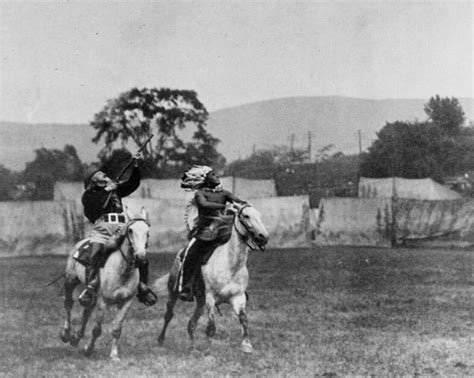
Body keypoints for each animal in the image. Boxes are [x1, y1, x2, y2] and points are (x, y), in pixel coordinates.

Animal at [60, 207, 150, 360]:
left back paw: (76, 337)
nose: (141, 257)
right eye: (130, 230)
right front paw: (88, 349)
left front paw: (114, 355)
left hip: (92, 295)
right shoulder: (103, 301)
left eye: (147, 231)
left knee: (86, 311)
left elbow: (117, 329)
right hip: (71, 280)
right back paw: (66, 333)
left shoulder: (126, 302)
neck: (121, 270)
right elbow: (97, 329)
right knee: (68, 303)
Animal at [156, 204, 266, 354]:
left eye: (260, 215)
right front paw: (208, 350)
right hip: (173, 292)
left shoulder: (238, 297)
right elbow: (211, 327)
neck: (230, 266)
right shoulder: (210, 298)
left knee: (191, 323)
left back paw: (192, 348)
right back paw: (161, 340)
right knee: (168, 315)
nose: (263, 237)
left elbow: (244, 319)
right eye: (246, 216)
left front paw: (246, 345)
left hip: (200, 301)